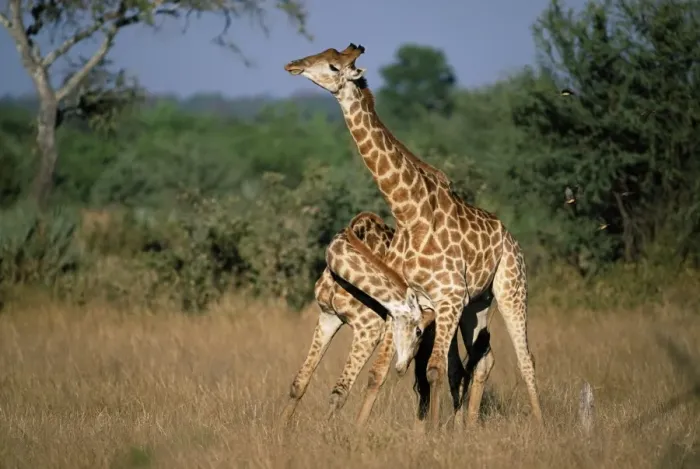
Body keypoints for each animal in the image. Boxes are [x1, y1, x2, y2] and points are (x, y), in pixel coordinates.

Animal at [280, 211, 471, 426]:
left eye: (418, 330)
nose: (401, 368)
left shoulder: (369, 328)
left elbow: (339, 392)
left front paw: (326, 432)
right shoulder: (328, 316)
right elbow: (300, 382)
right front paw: (282, 428)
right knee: (437, 379)